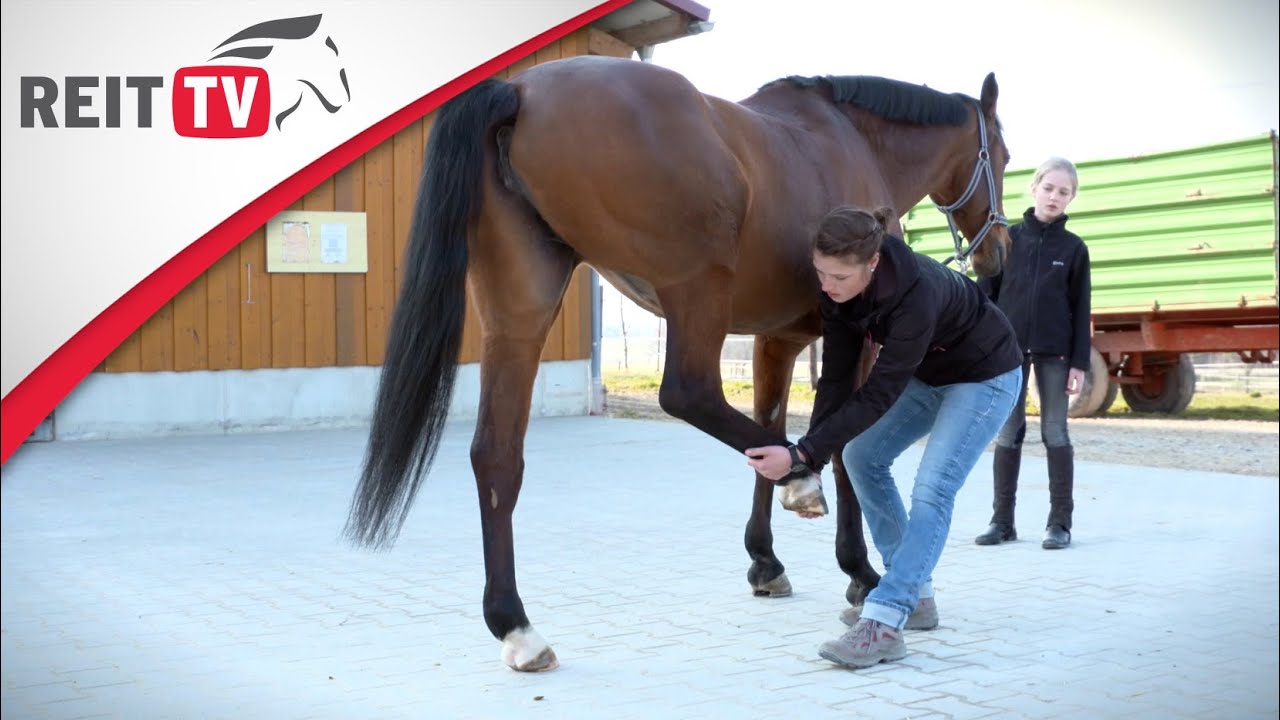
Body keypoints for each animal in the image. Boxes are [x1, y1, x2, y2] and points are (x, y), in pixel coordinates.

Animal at [343, 55, 1011, 672]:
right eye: (1002, 156)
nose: (998, 250)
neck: (848, 137)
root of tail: (521, 91)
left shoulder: (778, 339)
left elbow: (770, 420)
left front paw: (765, 561)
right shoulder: (853, 338)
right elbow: (841, 445)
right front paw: (857, 568)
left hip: (519, 312)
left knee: (497, 457)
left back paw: (516, 627)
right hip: (697, 287)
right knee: (688, 393)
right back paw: (798, 476)